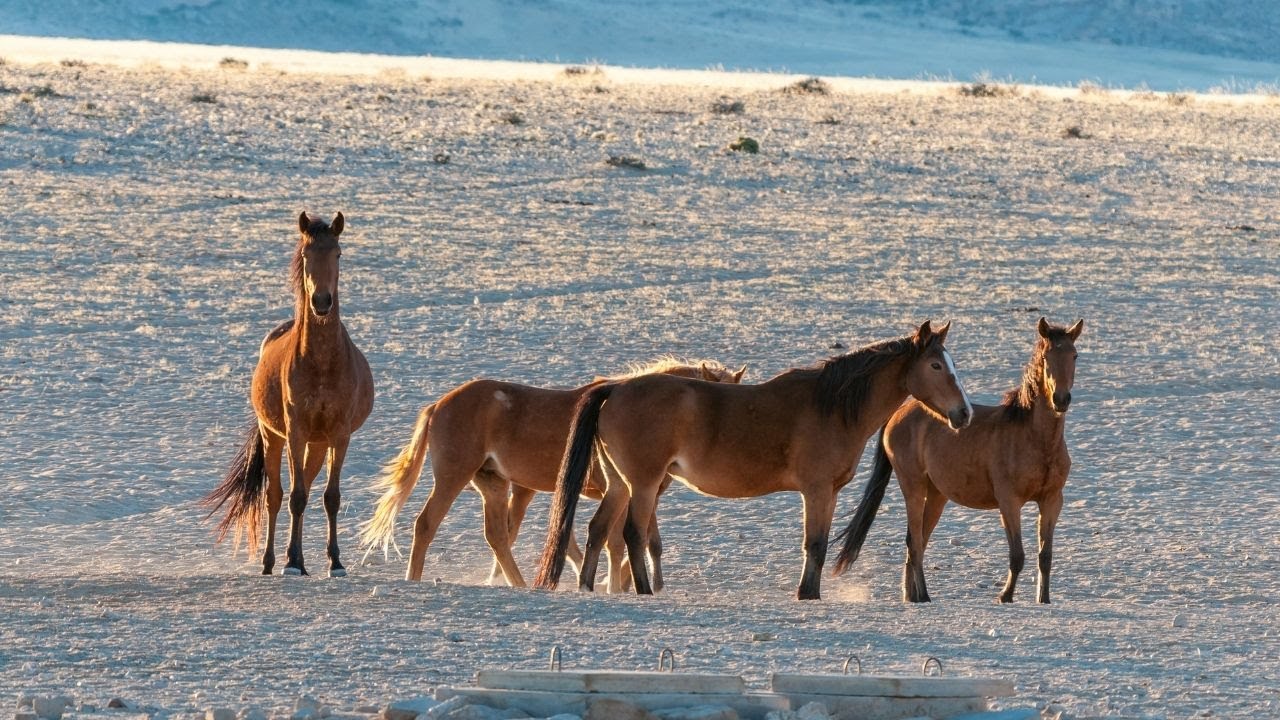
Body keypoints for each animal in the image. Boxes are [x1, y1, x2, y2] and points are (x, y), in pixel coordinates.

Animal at [203, 212, 375, 577]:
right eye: (306, 255)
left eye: (338, 253)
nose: (321, 302)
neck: (322, 362)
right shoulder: (294, 431)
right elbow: (294, 497)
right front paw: (292, 565)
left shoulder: (339, 435)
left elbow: (329, 497)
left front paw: (335, 562)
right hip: (275, 436)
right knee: (277, 496)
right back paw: (275, 562)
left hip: (317, 443)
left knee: (306, 487)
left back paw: (297, 557)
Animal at [359, 358, 746, 588]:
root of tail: (440, 404)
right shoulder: (633, 489)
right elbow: (620, 541)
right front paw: (617, 584)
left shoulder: (640, 491)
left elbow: (644, 541)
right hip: (453, 478)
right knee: (426, 525)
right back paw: (414, 578)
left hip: (494, 485)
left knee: (498, 537)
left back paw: (518, 583)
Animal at [534, 321, 972, 600]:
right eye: (936, 365)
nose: (964, 414)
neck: (831, 406)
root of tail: (616, 388)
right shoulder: (815, 490)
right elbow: (814, 544)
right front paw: (807, 594)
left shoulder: (828, 492)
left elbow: (819, 544)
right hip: (643, 484)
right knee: (631, 534)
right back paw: (642, 590)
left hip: (620, 485)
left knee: (597, 529)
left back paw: (588, 586)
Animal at [832, 317, 1083, 603]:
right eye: (1046, 356)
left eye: (1074, 355)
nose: (1060, 399)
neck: (1036, 440)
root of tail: (900, 412)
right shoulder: (1009, 502)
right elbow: (1017, 555)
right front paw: (1005, 596)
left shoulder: (1052, 501)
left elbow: (1045, 557)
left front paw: (1044, 599)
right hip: (913, 486)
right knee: (914, 542)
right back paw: (923, 596)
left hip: (937, 496)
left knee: (918, 540)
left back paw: (912, 596)